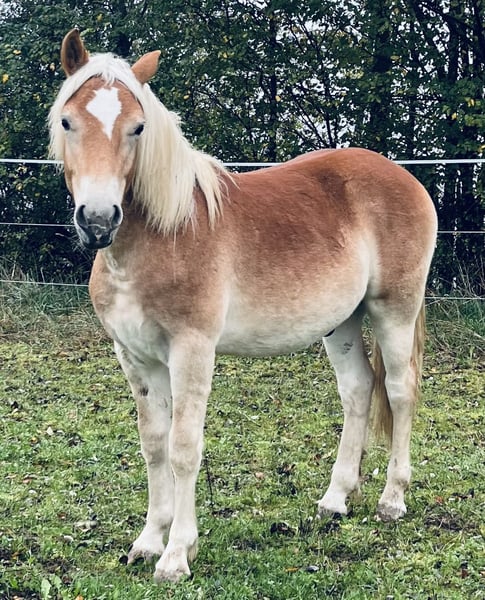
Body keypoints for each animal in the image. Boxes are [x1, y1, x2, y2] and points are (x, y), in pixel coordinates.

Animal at [49, 29, 437, 583]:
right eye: (67, 120)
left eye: (138, 127)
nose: (99, 220)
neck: (163, 235)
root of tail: (404, 177)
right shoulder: (135, 357)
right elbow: (154, 445)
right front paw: (147, 541)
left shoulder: (191, 350)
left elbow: (183, 448)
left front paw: (176, 555)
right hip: (341, 323)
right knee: (359, 390)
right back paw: (335, 499)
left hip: (394, 311)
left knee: (401, 391)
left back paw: (392, 499)